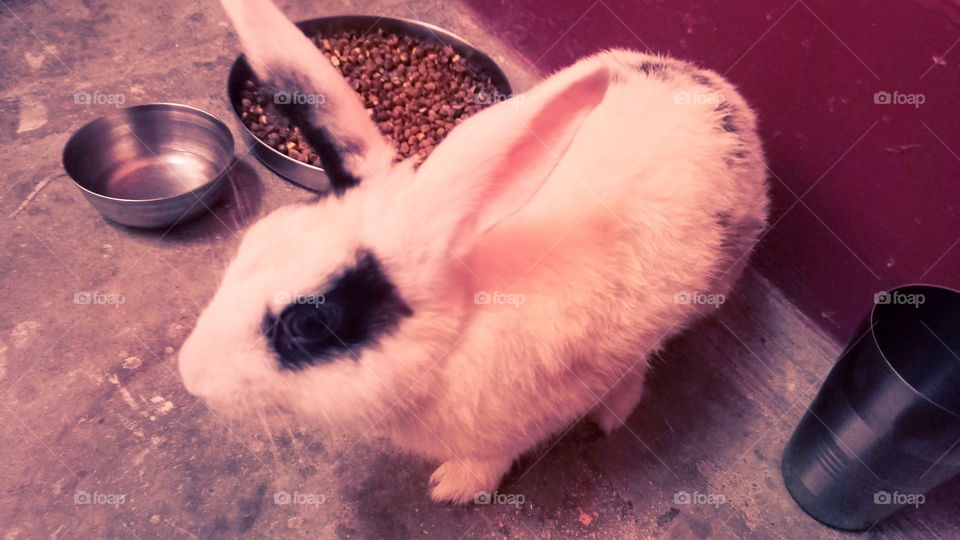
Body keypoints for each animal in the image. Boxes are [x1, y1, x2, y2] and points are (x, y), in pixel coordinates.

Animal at [179, 0, 769, 504]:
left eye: (311, 323)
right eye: (256, 239)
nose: (190, 376)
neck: (459, 328)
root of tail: (714, 86)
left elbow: (495, 456)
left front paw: (453, 487)